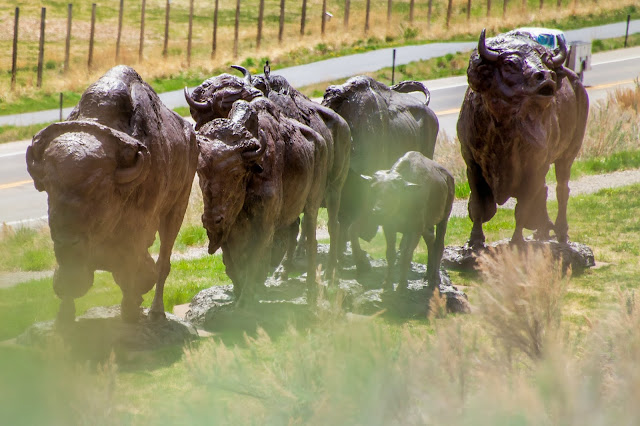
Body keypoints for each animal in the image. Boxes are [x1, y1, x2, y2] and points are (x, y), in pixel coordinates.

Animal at [25, 65, 198, 322]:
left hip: (177, 209)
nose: (68, 240)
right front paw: (64, 319)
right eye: (49, 187)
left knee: (163, 262)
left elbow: (130, 272)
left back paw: (156, 311)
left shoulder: (135, 235)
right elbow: (66, 282)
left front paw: (128, 315)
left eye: (97, 189)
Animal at [458, 30, 588, 248]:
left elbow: (523, 209)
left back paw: (561, 233)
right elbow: (479, 206)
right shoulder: (472, 165)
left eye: (546, 61)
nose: (546, 76)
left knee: (562, 190)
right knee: (546, 192)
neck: (503, 127)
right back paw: (541, 233)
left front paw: (517, 242)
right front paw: (474, 241)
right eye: (509, 62)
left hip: (568, 155)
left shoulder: (535, 168)